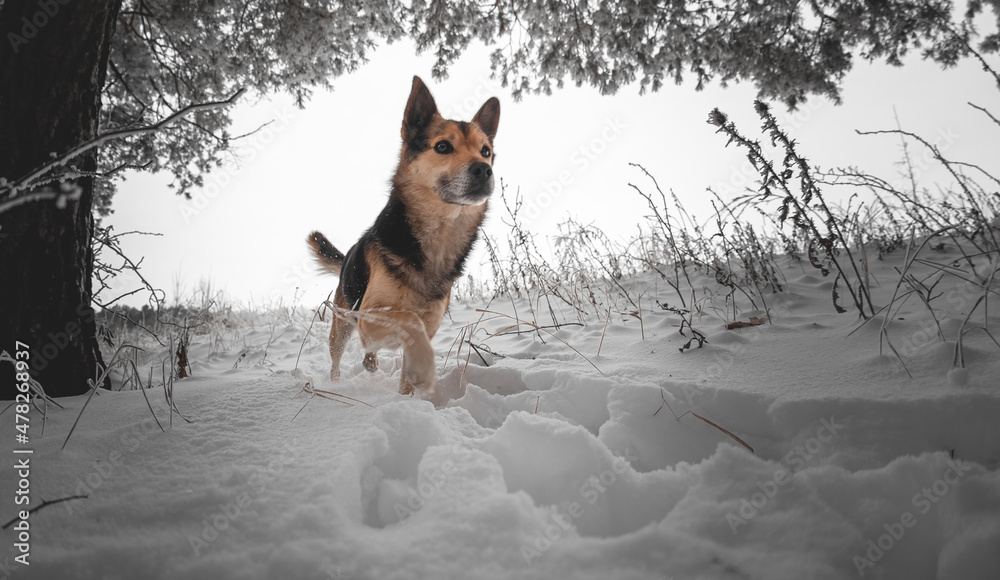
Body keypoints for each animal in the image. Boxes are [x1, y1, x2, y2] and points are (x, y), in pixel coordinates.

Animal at [306, 75, 498, 396]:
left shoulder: (430, 324)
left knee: (370, 350)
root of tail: (346, 260)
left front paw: (411, 395)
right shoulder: (370, 314)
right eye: (443, 146)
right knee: (337, 356)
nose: (484, 169)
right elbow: (409, 320)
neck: (437, 233)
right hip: (343, 324)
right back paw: (336, 384)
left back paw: (371, 363)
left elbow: (414, 345)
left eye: (485, 151)